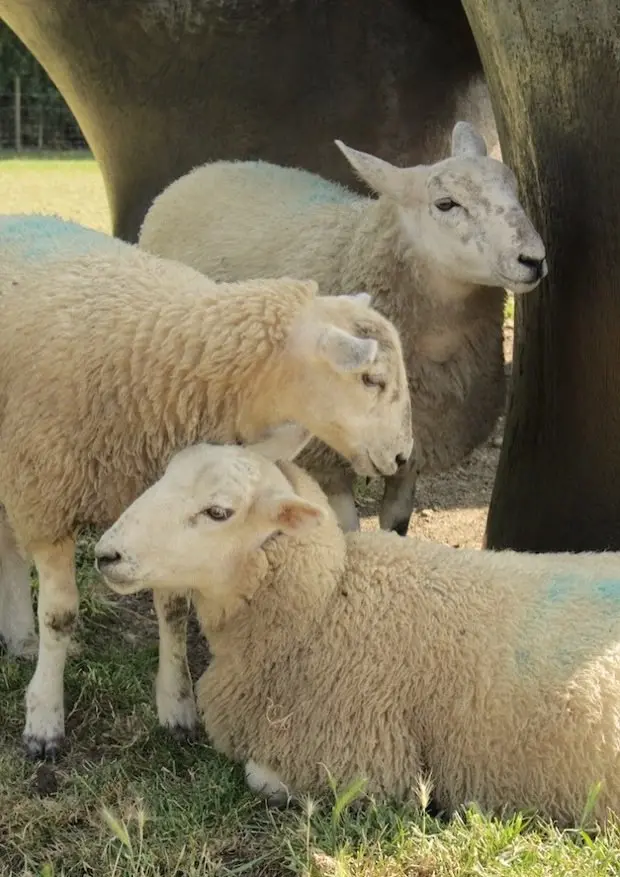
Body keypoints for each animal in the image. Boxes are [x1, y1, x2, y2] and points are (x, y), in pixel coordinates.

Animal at [0, 213, 413, 760]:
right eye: (371, 379)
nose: (403, 456)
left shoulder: (166, 518)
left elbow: (174, 611)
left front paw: (176, 705)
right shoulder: (45, 494)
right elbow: (60, 616)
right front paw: (44, 717)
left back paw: (18, 636)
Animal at [138, 120, 547, 535]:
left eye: (515, 191)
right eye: (446, 203)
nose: (533, 259)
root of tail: (207, 168)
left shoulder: (410, 449)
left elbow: (396, 523)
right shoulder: (327, 457)